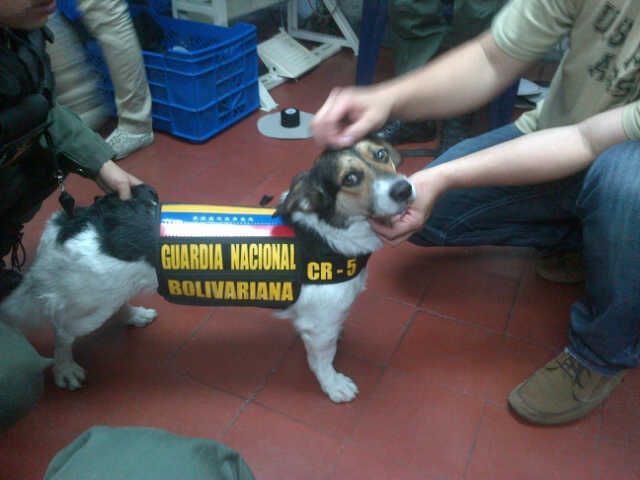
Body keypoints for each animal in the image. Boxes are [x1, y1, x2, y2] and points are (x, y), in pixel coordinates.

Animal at [0, 138, 415, 403]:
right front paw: (333, 385)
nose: (405, 190)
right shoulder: (318, 325)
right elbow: (322, 361)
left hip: (106, 291)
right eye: (350, 179)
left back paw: (133, 315)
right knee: (62, 332)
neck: (327, 232)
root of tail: (76, 217)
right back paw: (65, 369)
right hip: (86, 307)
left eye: (381, 154)